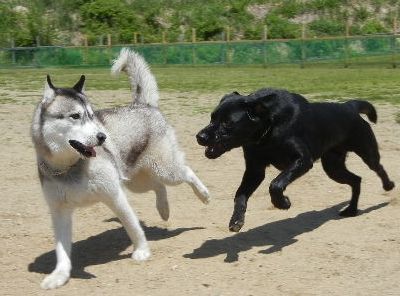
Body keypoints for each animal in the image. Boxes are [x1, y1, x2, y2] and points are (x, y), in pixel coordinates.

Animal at [196, 89, 394, 232]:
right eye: (212, 117)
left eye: (227, 123)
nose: (199, 136)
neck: (269, 128)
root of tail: (349, 106)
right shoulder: (255, 170)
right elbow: (240, 195)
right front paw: (236, 220)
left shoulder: (302, 160)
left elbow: (275, 184)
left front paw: (283, 203)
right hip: (333, 167)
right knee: (356, 180)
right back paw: (351, 210)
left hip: (367, 152)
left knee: (378, 168)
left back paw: (388, 186)